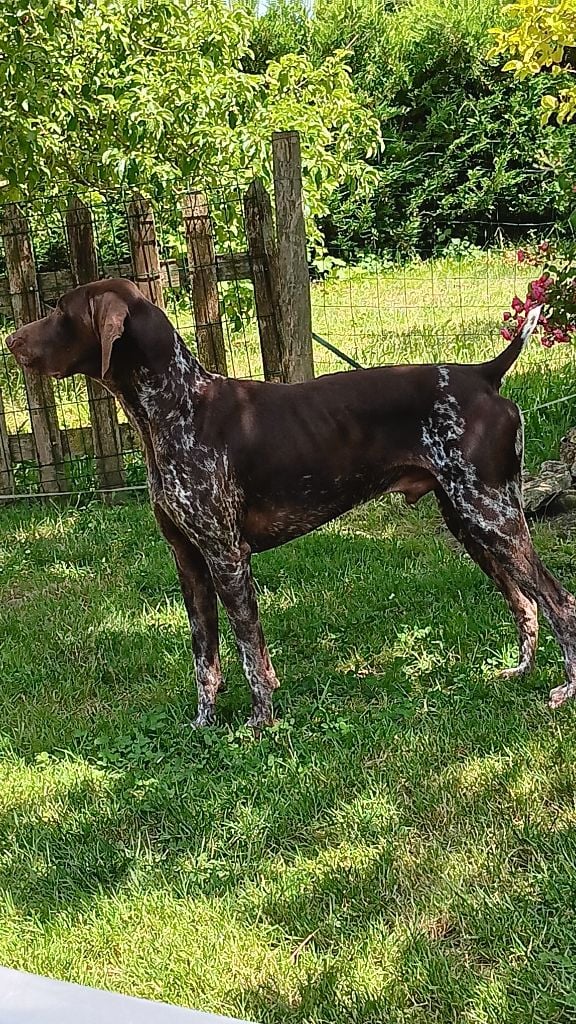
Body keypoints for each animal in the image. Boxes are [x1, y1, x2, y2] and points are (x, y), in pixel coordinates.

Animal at [5, 280, 573, 724]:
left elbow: (250, 655)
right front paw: (204, 726)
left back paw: (565, 692)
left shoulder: (227, 558)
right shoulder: (188, 561)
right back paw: (518, 672)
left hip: (492, 517)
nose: (10, 340)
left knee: (559, 603)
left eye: (60, 310)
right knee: (526, 604)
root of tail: (483, 374)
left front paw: (261, 725)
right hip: (472, 523)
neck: (176, 405)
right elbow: (205, 661)